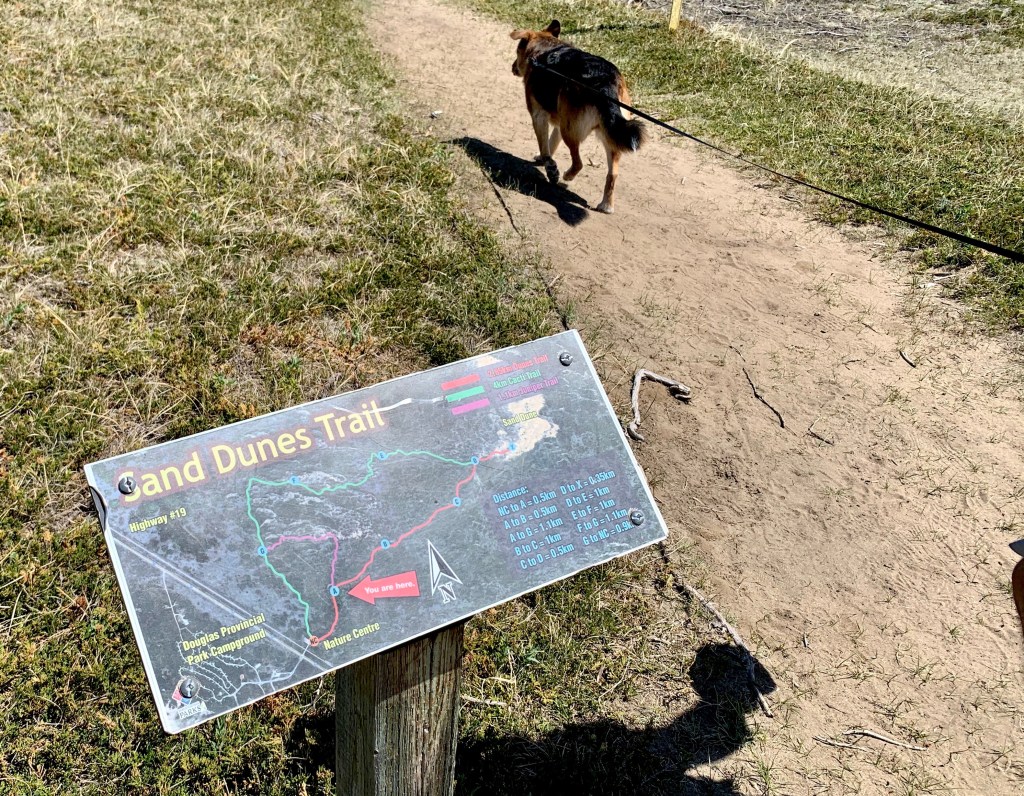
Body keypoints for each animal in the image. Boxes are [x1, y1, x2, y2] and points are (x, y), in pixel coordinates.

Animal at [510, 20, 645, 214]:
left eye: (516, 52)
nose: (512, 67)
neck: (544, 49)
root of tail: (605, 83)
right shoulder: (560, 121)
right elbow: (551, 142)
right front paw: (544, 161)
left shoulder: (538, 115)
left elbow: (544, 146)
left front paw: (550, 167)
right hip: (609, 135)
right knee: (612, 173)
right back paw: (606, 205)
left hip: (571, 131)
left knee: (578, 163)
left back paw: (567, 176)